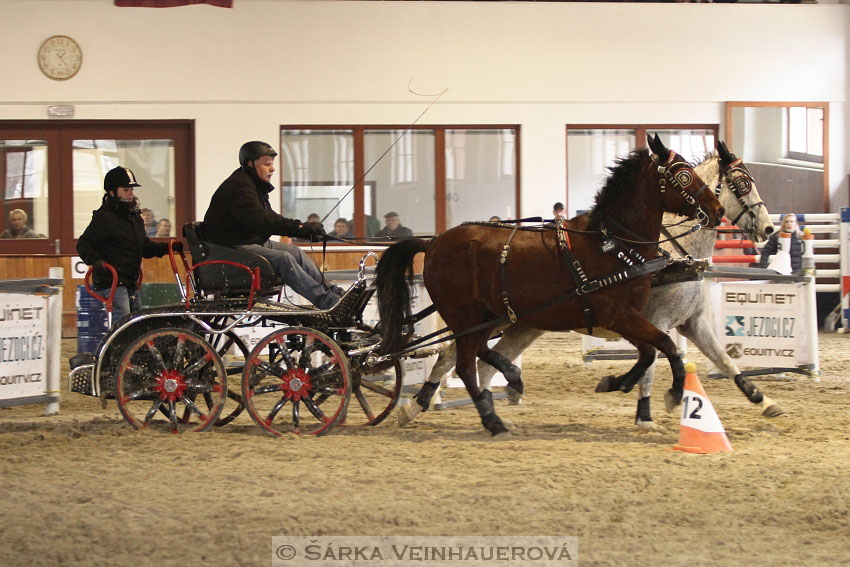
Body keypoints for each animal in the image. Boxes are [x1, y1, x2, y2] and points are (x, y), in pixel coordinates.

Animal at [374, 135, 720, 438]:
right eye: (684, 175)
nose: (717, 210)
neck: (612, 244)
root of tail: (433, 243)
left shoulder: (627, 318)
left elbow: (650, 352)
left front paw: (614, 382)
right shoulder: (620, 316)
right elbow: (666, 345)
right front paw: (673, 393)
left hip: (487, 316)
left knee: (476, 354)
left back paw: (509, 382)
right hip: (466, 317)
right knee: (464, 365)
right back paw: (492, 420)